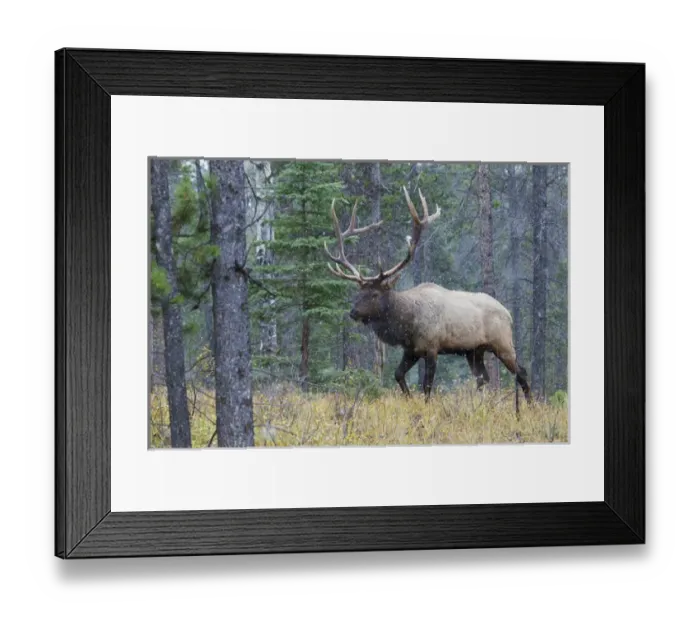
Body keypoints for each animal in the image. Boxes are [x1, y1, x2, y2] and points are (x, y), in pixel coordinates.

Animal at [324, 186, 531, 408]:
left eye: (374, 293)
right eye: (358, 293)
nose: (353, 312)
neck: (407, 323)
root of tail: (508, 314)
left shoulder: (432, 347)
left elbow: (427, 385)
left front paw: (425, 407)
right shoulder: (411, 349)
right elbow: (398, 375)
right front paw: (409, 401)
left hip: (503, 342)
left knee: (521, 372)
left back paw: (529, 406)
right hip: (475, 350)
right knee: (483, 378)